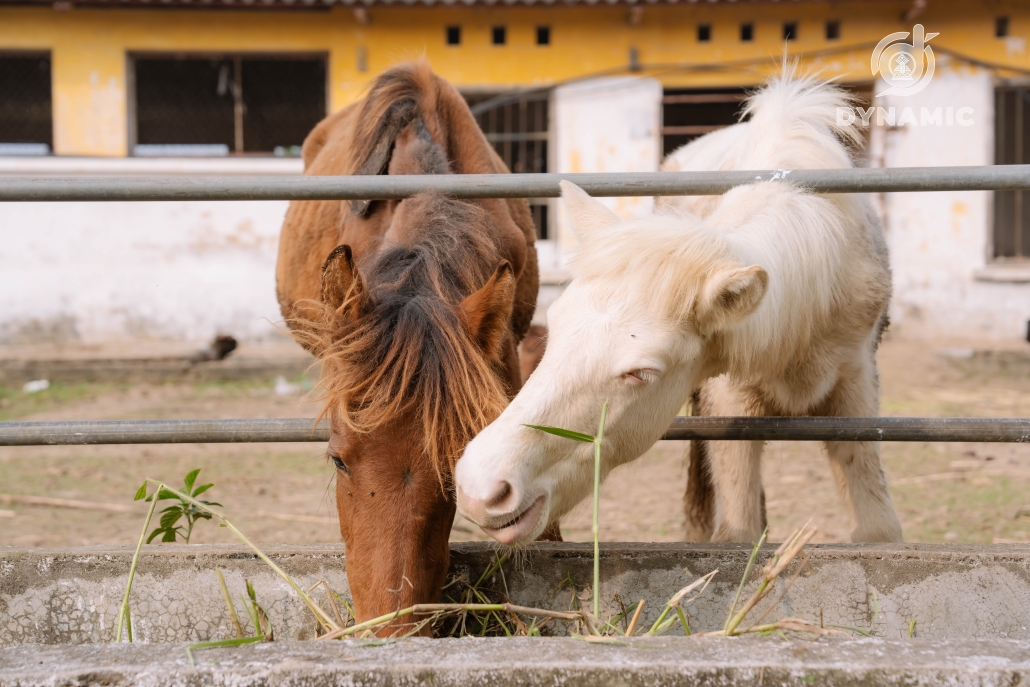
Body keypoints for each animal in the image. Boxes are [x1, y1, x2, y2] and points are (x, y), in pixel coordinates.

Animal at [457, 75, 902, 543]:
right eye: (554, 332)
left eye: (641, 373)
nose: (480, 489)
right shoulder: (729, 398)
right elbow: (738, 528)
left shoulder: (855, 386)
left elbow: (877, 528)